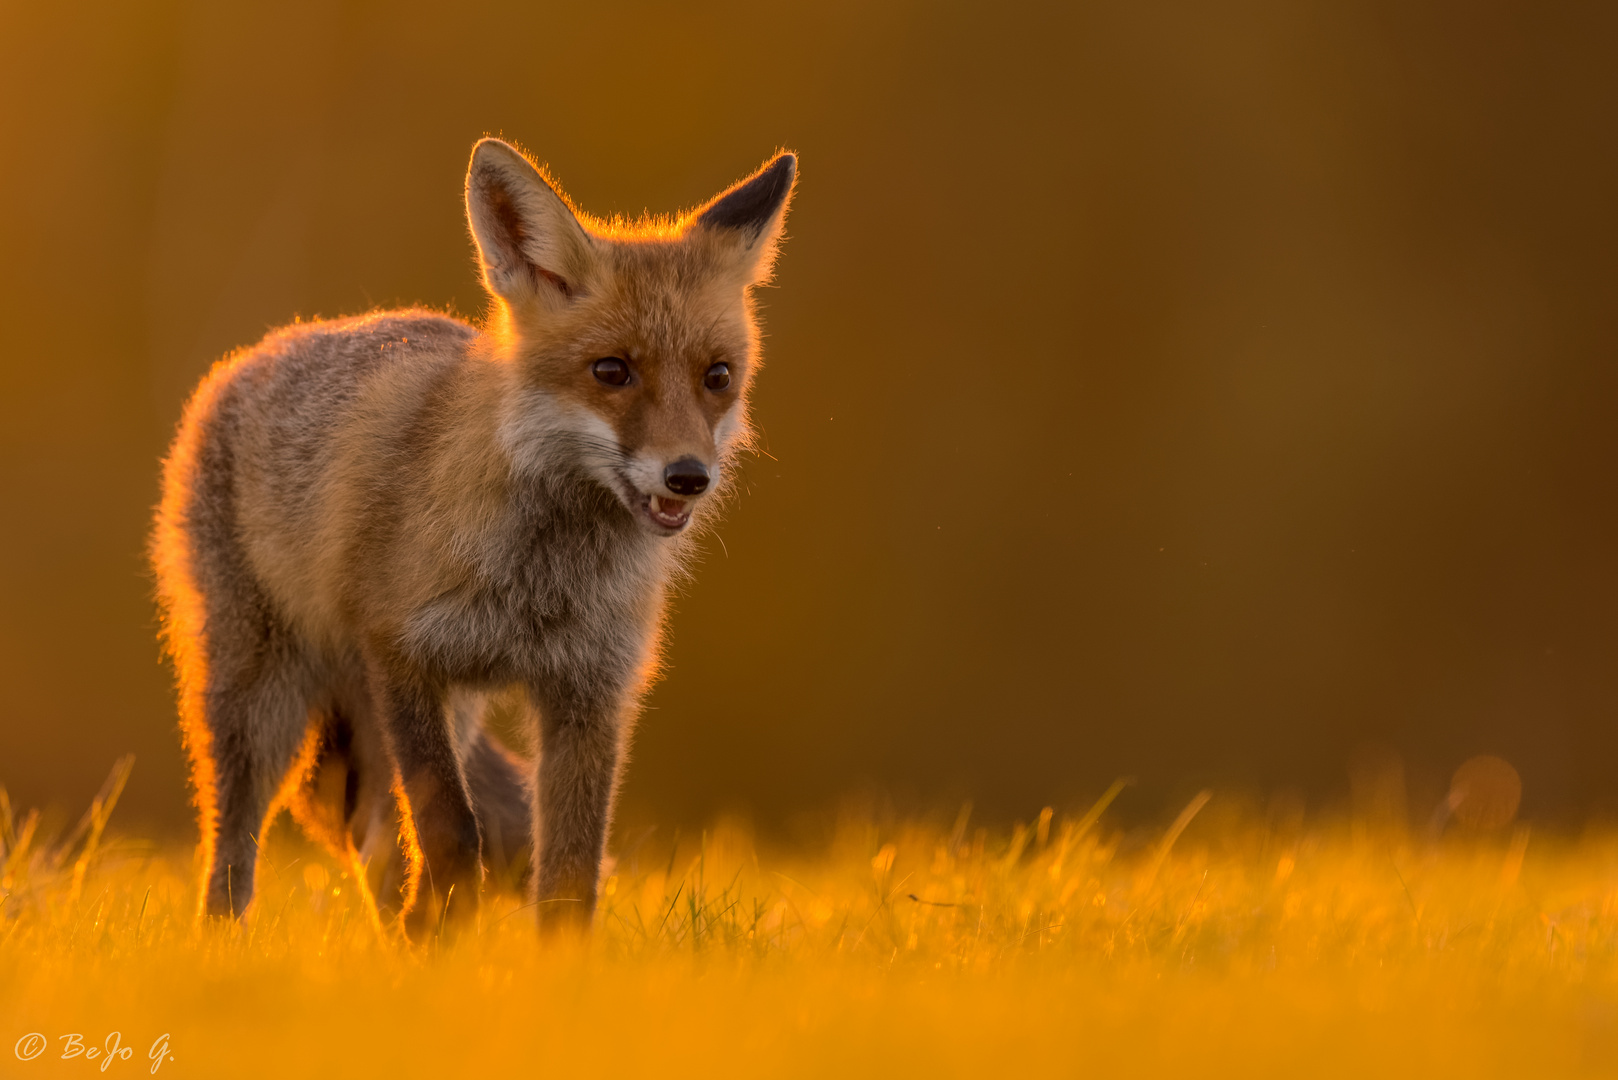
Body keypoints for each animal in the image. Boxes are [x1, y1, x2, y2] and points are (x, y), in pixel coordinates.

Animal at [154, 137, 799, 939]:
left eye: (718, 376)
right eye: (611, 371)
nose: (689, 477)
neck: (542, 580)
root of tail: (258, 351)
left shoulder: (591, 687)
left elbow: (569, 873)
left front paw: (537, 964)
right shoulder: (401, 655)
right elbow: (452, 834)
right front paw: (441, 942)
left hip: (429, 717)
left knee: (375, 837)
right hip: (259, 695)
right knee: (236, 842)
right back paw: (226, 941)